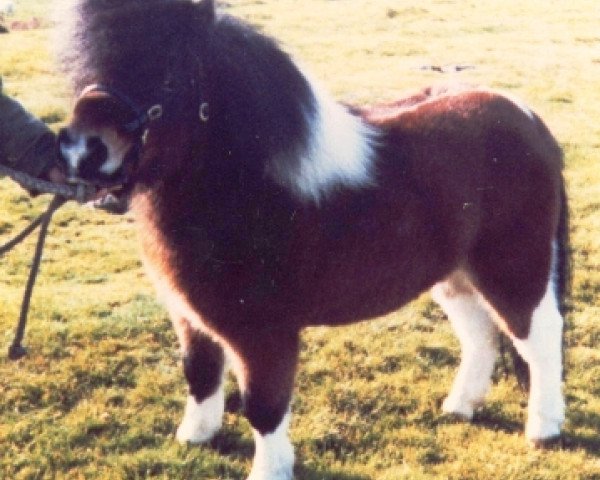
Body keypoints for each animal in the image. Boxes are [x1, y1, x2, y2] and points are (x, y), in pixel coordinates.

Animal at [55, 1, 568, 478]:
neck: (245, 186)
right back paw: (460, 407)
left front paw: (270, 469)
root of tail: (527, 118)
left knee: (539, 336)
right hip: (455, 275)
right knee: (480, 333)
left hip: (514, 266)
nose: (81, 151)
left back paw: (544, 428)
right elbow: (199, 374)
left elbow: (263, 405)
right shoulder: (189, 316)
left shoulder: (263, 332)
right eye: (93, 66)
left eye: (166, 75)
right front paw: (195, 437)